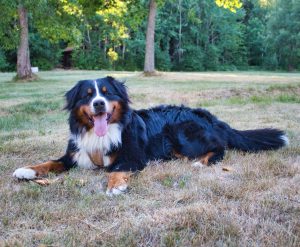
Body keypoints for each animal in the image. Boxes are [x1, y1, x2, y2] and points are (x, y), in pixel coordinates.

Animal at [12, 76, 290, 196]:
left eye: (106, 92)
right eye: (88, 95)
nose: (99, 104)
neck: (100, 134)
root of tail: (208, 116)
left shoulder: (133, 157)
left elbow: (116, 170)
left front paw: (115, 186)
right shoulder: (74, 153)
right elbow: (50, 162)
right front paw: (27, 170)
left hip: (183, 134)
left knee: (220, 147)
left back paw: (201, 162)